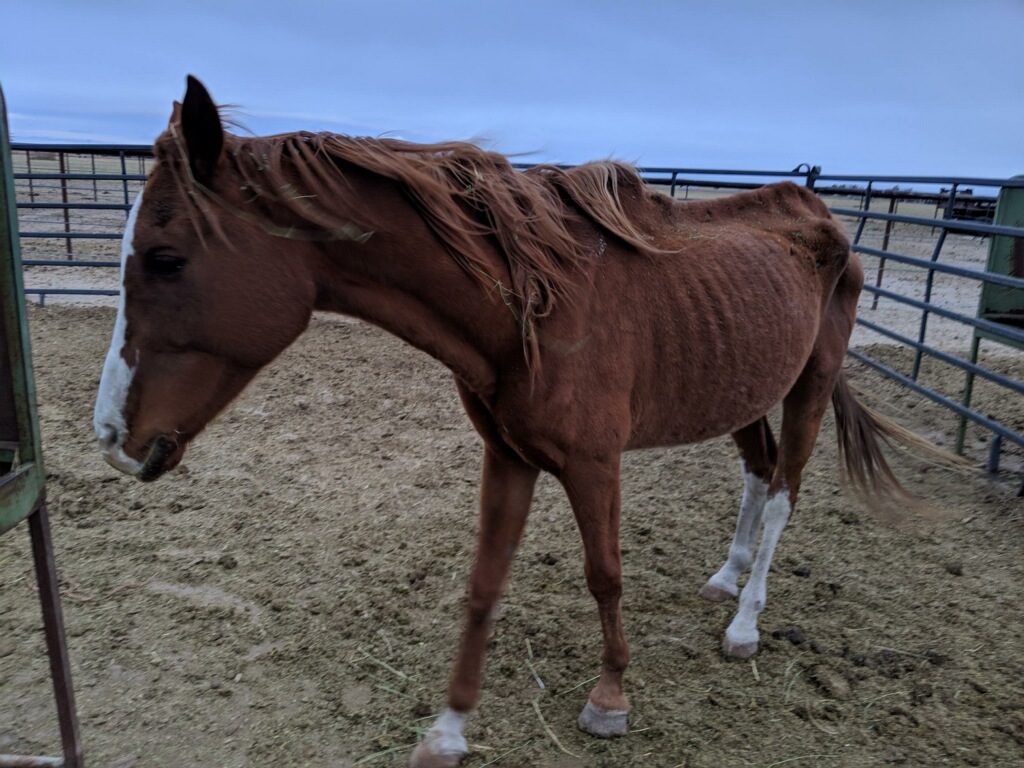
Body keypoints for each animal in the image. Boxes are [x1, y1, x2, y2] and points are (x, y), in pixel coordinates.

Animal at [94, 79, 942, 768]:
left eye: (166, 258)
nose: (111, 439)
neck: (533, 307)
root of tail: (816, 211)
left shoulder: (594, 464)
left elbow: (605, 575)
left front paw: (609, 698)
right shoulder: (507, 456)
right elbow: (483, 584)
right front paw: (447, 730)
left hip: (809, 386)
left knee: (785, 495)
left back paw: (746, 623)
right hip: (738, 387)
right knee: (759, 474)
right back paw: (724, 579)